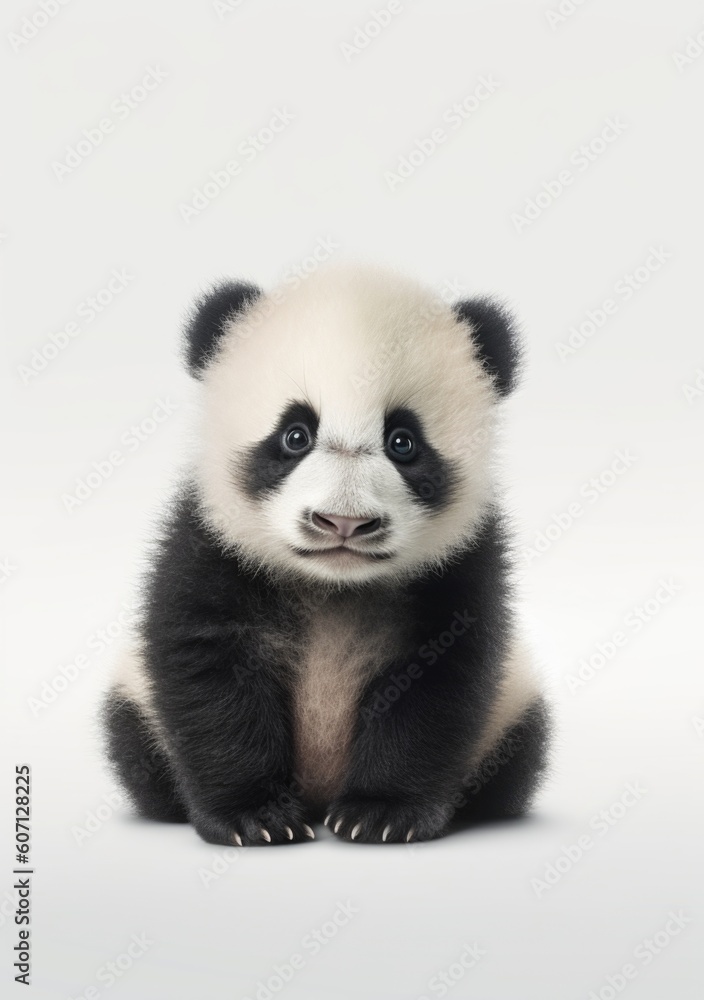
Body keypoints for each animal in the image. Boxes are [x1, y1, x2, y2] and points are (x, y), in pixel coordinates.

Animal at [104, 264, 550, 846]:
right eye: (295, 435)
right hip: (134, 702)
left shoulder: (463, 564)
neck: (332, 583)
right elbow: (207, 671)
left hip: (513, 712)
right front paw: (255, 817)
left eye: (403, 441)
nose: (344, 523)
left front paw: (381, 813)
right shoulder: (208, 542)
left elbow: (441, 686)